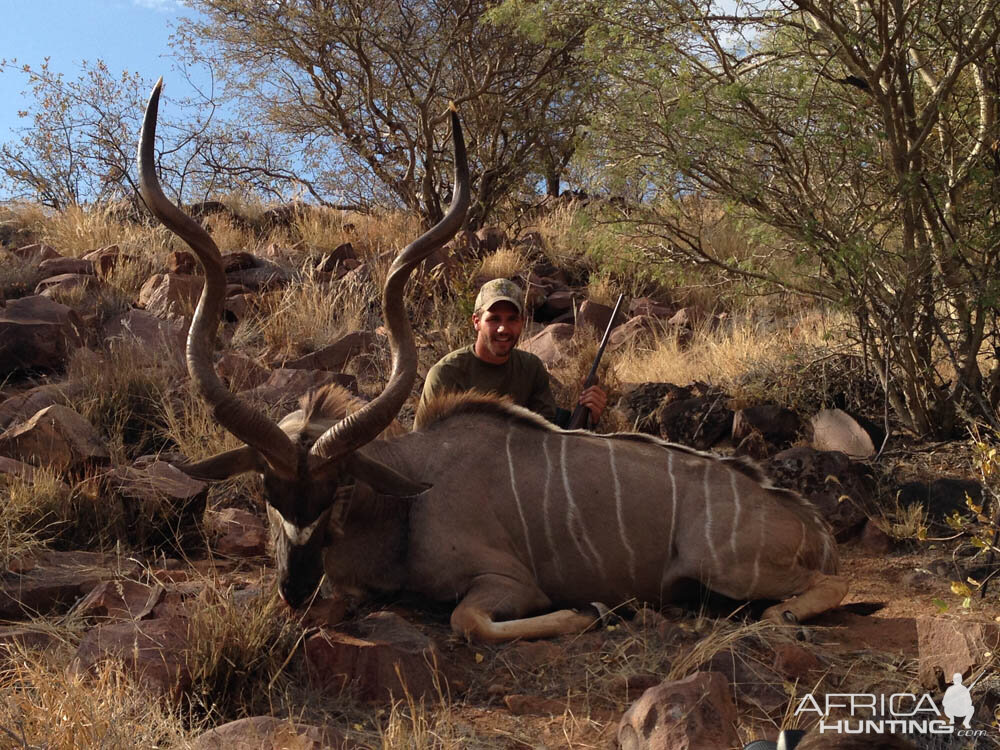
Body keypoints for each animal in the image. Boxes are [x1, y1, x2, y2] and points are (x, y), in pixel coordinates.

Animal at [139, 79, 844, 644]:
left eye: (337, 488)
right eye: (266, 488)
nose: (295, 586)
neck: (408, 498)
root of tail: (811, 526)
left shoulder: (506, 582)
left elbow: (469, 620)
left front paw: (590, 611)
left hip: (723, 567)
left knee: (818, 593)